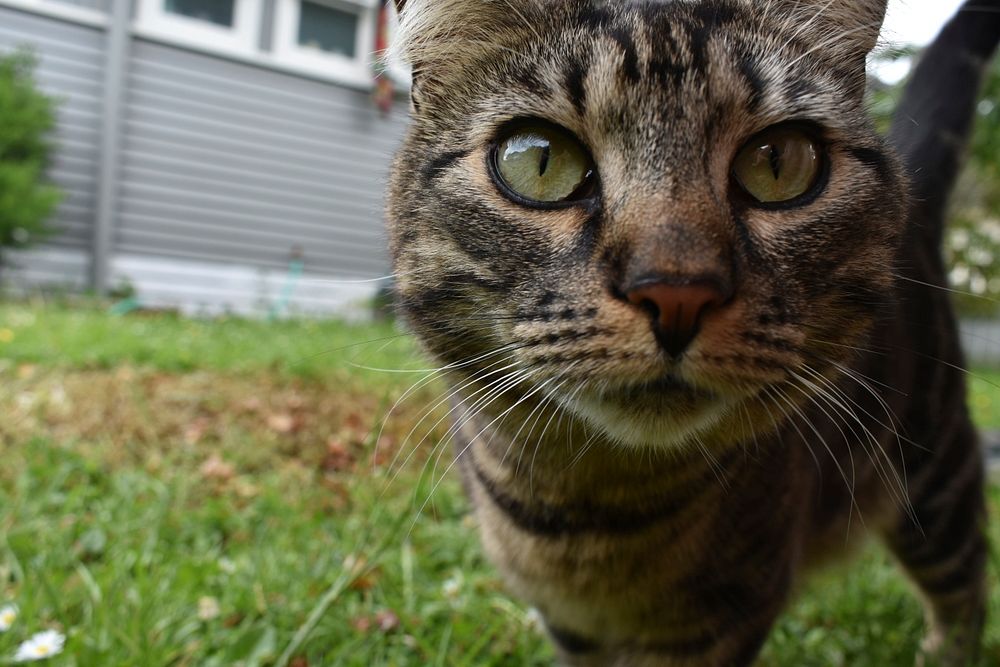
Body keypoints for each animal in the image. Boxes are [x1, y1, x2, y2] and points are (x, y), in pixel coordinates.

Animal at [386, 1, 1000, 664]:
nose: (678, 292)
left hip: (936, 482)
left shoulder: (721, 622)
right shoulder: (570, 625)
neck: (588, 517)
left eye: (779, 161)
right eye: (540, 159)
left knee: (965, 590)